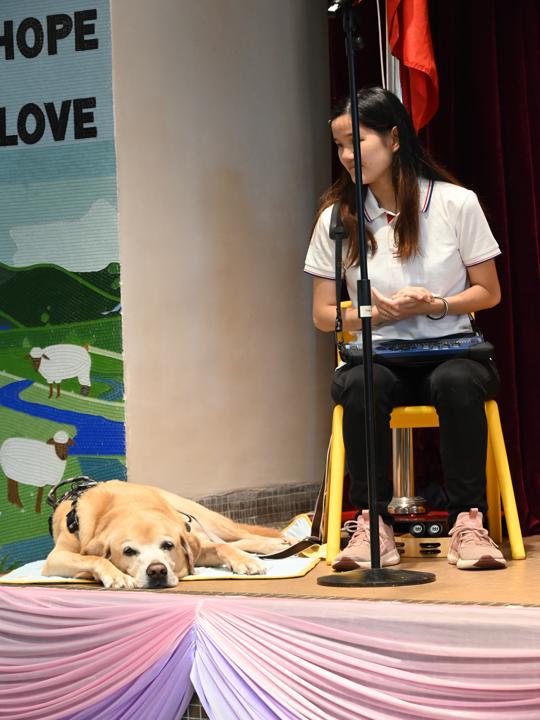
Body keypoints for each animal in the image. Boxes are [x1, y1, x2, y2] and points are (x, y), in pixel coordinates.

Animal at [43, 481, 294, 589]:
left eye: (168, 545)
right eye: (128, 551)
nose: (157, 571)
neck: (128, 505)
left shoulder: (193, 544)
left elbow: (222, 547)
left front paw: (245, 562)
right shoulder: (55, 559)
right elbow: (95, 558)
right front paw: (115, 575)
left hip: (208, 520)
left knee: (240, 535)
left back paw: (282, 542)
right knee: (236, 540)